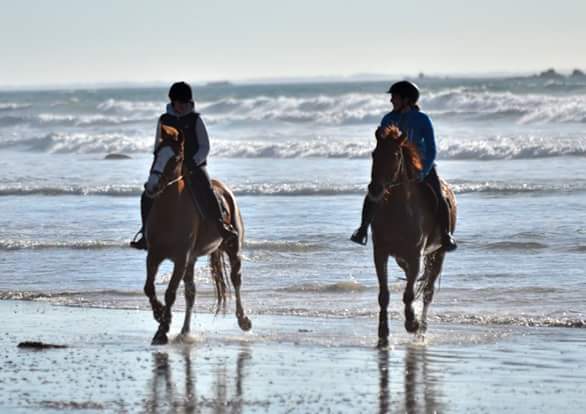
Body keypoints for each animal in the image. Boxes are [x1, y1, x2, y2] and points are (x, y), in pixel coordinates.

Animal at [144, 124, 251, 344]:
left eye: (175, 158)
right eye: (156, 154)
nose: (151, 186)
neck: (169, 211)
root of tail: (223, 188)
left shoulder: (180, 258)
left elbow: (170, 293)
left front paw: (162, 330)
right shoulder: (154, 255)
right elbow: (149, 288)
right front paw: (160, 315)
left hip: (232, 248)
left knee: (236, 278)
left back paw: (243, 320)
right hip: (192, 260)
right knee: (190, 293)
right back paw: (185, 331)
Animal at [370, 125, 456, 346]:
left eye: (394, 155)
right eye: (374, 154)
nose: (374, 189)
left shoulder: (415, 254)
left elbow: (409, 294)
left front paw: (412, 323)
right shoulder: (380, 253)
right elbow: (384, 295)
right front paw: (383, 332)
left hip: (438, 253)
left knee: (427, 291)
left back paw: (421, 329)